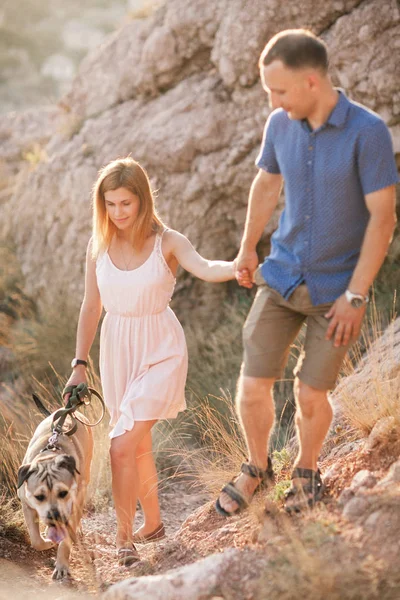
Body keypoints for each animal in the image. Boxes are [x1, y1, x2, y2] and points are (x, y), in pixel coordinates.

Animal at [17, 398, 94, 580]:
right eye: (39, 497)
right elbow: (36, 540)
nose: (54, 516)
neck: (49, 457)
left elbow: (65, 542)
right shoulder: (26, 504)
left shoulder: (71, 509)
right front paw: (47, 542)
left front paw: (62, 565)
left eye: (63, 493)